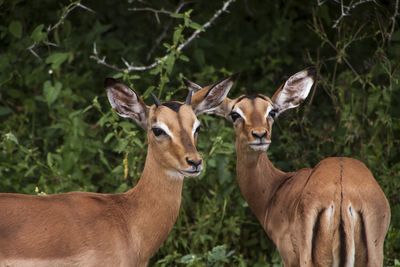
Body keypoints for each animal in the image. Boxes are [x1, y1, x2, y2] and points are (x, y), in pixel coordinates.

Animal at [189, 68, 392, 266]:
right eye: (235, 114)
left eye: (272, 112)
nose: (260, 135)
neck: (277, 189)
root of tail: (342, 195)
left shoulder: (288, 256)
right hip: (374, 256)